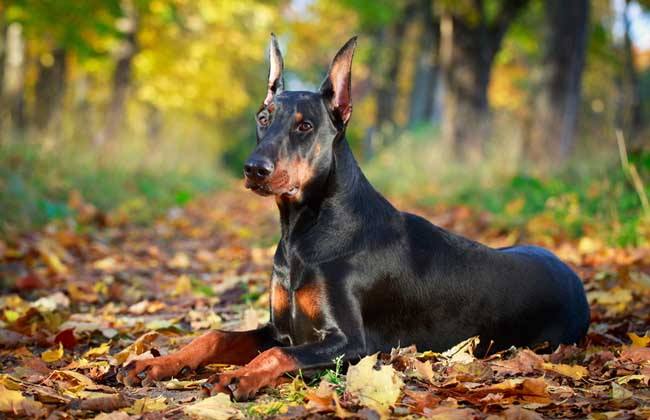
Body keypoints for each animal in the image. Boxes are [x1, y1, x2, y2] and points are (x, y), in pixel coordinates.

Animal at [116, 34, 588, 398]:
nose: (254, 169)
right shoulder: (281, 327)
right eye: (263, 117)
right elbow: (216, 336)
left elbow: (278, 354)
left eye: (305, 126)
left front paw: (242, 376)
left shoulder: (353, 344)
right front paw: (155, 363)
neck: (303, 233)